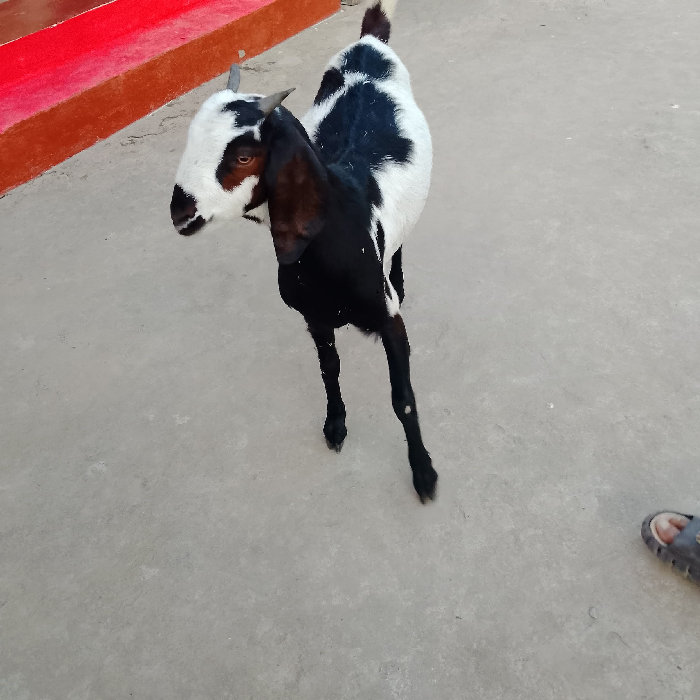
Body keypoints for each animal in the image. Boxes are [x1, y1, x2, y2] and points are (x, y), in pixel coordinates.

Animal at [170, 0, 437, 502]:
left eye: (243, 157)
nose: (181, 209)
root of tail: (368, 42)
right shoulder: (314, 318)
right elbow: (329, 370)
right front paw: (336, 425)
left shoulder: (388, 320)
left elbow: (404, 400)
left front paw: (424, 473)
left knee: (401, 245)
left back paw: (400, 277)